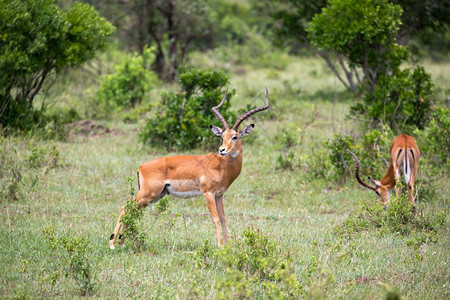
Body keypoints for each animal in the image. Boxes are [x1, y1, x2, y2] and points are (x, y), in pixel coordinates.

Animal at [110, 86, 268, 248]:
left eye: (234, 137)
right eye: (222, 137)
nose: (222, 150)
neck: (222, 166)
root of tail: (141, 167)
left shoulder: (219, 195)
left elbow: (223, 218)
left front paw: (228, 246)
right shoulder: (208, 193)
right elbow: (215, 218)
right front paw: (220, 246)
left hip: (156, 196)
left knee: (132, 210)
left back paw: (122, 242)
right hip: (148, 194)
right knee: (125, 208)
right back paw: (112, 244)